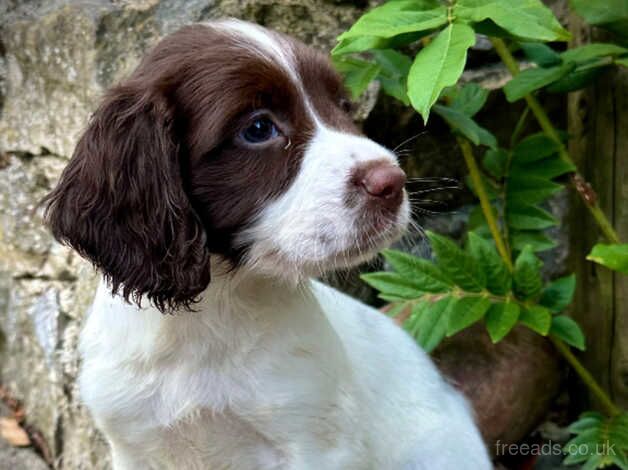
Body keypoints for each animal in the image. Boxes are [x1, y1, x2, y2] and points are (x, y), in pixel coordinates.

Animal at [44, 19, 490, 470]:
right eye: (258, 128)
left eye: (343, 106)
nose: (392, 182)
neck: (211, 315)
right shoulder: (132, 443)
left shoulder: (313, 437)